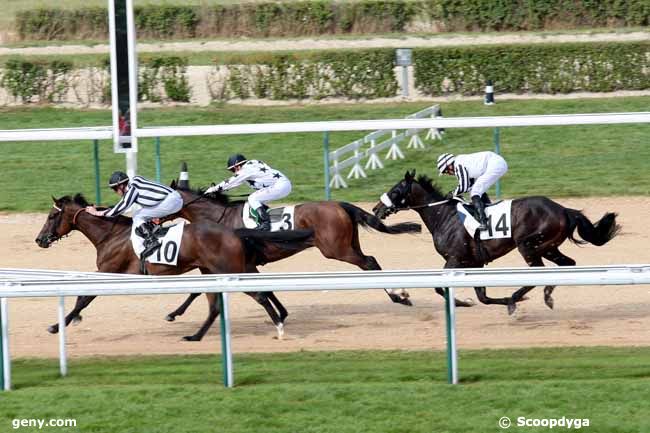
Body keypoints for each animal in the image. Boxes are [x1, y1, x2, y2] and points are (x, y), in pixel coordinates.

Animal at [35, 194, 314, 340]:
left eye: (52, 216)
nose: (39, 240)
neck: (111, 234)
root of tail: (233, 232)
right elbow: (83, 296)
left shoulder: (109, 271)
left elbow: (84, 296)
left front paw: (57, 325)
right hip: (213, 271)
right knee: (217, 306)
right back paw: (195, 336)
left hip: (228, 270)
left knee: (259, 295)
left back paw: (279, 326)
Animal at [160, 176, 422, 320]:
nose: (152, 221)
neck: (218, 218)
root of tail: (340, 204)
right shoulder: (247, 264)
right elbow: (266, 288)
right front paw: (282, 314)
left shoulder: (231, 265)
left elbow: (196, 290)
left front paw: (173, 313)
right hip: (349, 244)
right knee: (371, 261)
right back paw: (399, 295)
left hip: (336, 250)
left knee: (368, 263)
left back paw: (399, 296)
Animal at [370, 170, 616, 312]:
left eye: (395, 190)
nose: (376, 208)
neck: (444, 216)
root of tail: (564, 209)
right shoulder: (474, 263)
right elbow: (483, 297)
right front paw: (471, 301)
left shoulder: (455, 258)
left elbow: (441, 288)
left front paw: (462, 302)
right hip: (549, 247)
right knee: (567, 264)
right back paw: (545, 295)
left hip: (529, 245)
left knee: (538, 271)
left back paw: (517, 298)